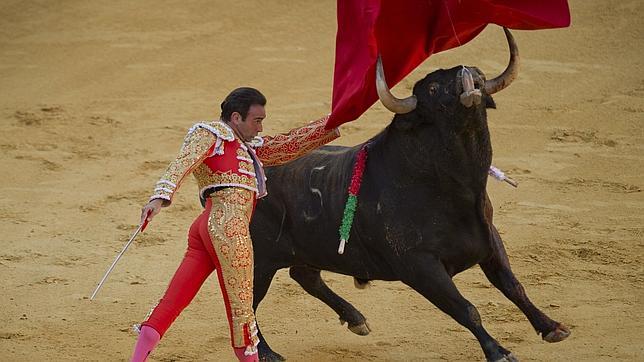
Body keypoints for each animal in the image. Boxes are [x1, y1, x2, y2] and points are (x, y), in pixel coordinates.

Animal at [250, 29, 568, 362]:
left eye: (479, 73)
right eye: (433, 88)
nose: (469, 76)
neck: (456, 188)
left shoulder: (489, 239)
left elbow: (513, 285)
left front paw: (551, 327)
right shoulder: (419, 266)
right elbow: (466, 309)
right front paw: (499, 352)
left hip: (308, 249)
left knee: (304, 275)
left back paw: (356, 319)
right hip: (259, 262)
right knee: (249, 304)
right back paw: (267, 352)